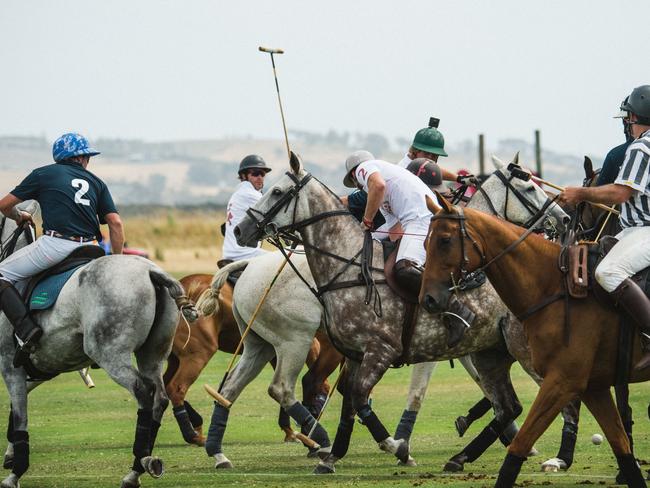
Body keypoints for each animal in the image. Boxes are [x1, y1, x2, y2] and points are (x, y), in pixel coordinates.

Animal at [0, 201, 197, 488]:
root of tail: (151, 271)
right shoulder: (40, 368)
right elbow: (16, 411)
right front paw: (10, 456)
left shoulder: (10, 366)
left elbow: (20, 416)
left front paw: (15, 472)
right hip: (153, 354)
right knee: (159, 397)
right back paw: (137, 468)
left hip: (109, 352)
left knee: (143, 390)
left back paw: (141, 460)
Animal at [162, 274, 330, 446]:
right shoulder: (306, 345)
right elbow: (321, 384)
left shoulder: (278, 351)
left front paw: (289, 430)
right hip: (199, 354)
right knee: (176, 388)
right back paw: (192, 434)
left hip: (175, 359)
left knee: (165, 386)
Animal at [418, 199, 644, 488]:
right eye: (426, 242)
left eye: (445, 240)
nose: (429, 299)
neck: (551, 287)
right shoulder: (593, 385)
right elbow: (621, 447)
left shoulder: (563, 380)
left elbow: (521, 444)